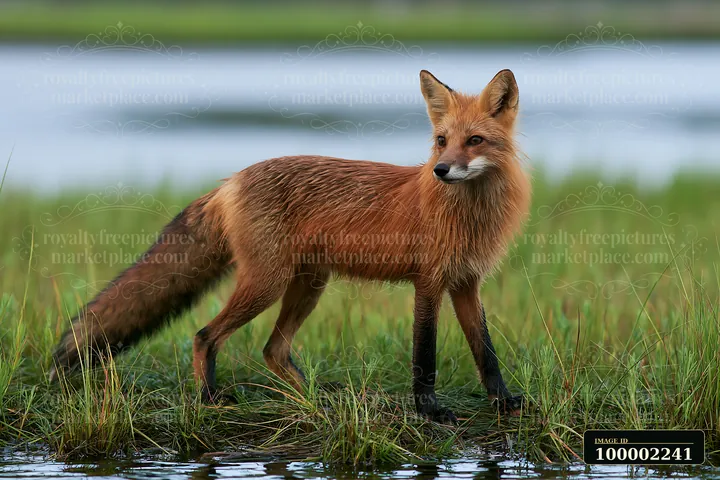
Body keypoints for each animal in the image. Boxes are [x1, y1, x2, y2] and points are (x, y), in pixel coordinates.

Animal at [49, 69, 531, 422]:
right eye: (441, 141)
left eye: (474, 140)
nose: (441, 170)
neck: (468, 216)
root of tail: (231, 180)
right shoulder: (429, 283)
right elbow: (424, 356)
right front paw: (429, 410)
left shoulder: (466, 283)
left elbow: (486, 352)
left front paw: (503, 401)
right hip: (268, 283)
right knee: (205, 335)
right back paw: (210, 399)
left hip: (308, 285)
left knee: (273, 350)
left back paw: (318, 401)